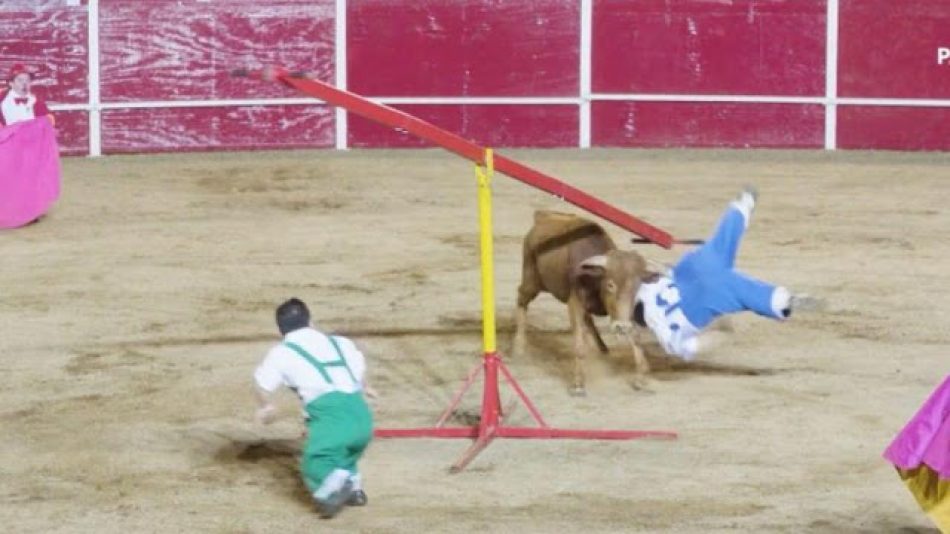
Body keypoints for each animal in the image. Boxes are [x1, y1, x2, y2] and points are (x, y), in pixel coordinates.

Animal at [512, 211, 656, 396]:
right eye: (610, 285)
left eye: (638, 286)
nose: (621, 327)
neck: (595, 280)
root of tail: (542, 217)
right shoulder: (575, 304)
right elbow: (579, 344)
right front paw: (578, 384)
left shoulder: (623, 314)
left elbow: (636, 339)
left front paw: (641, 379)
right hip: (532, 281)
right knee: (522, 299)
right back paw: (519, 348)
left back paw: (603, 348)